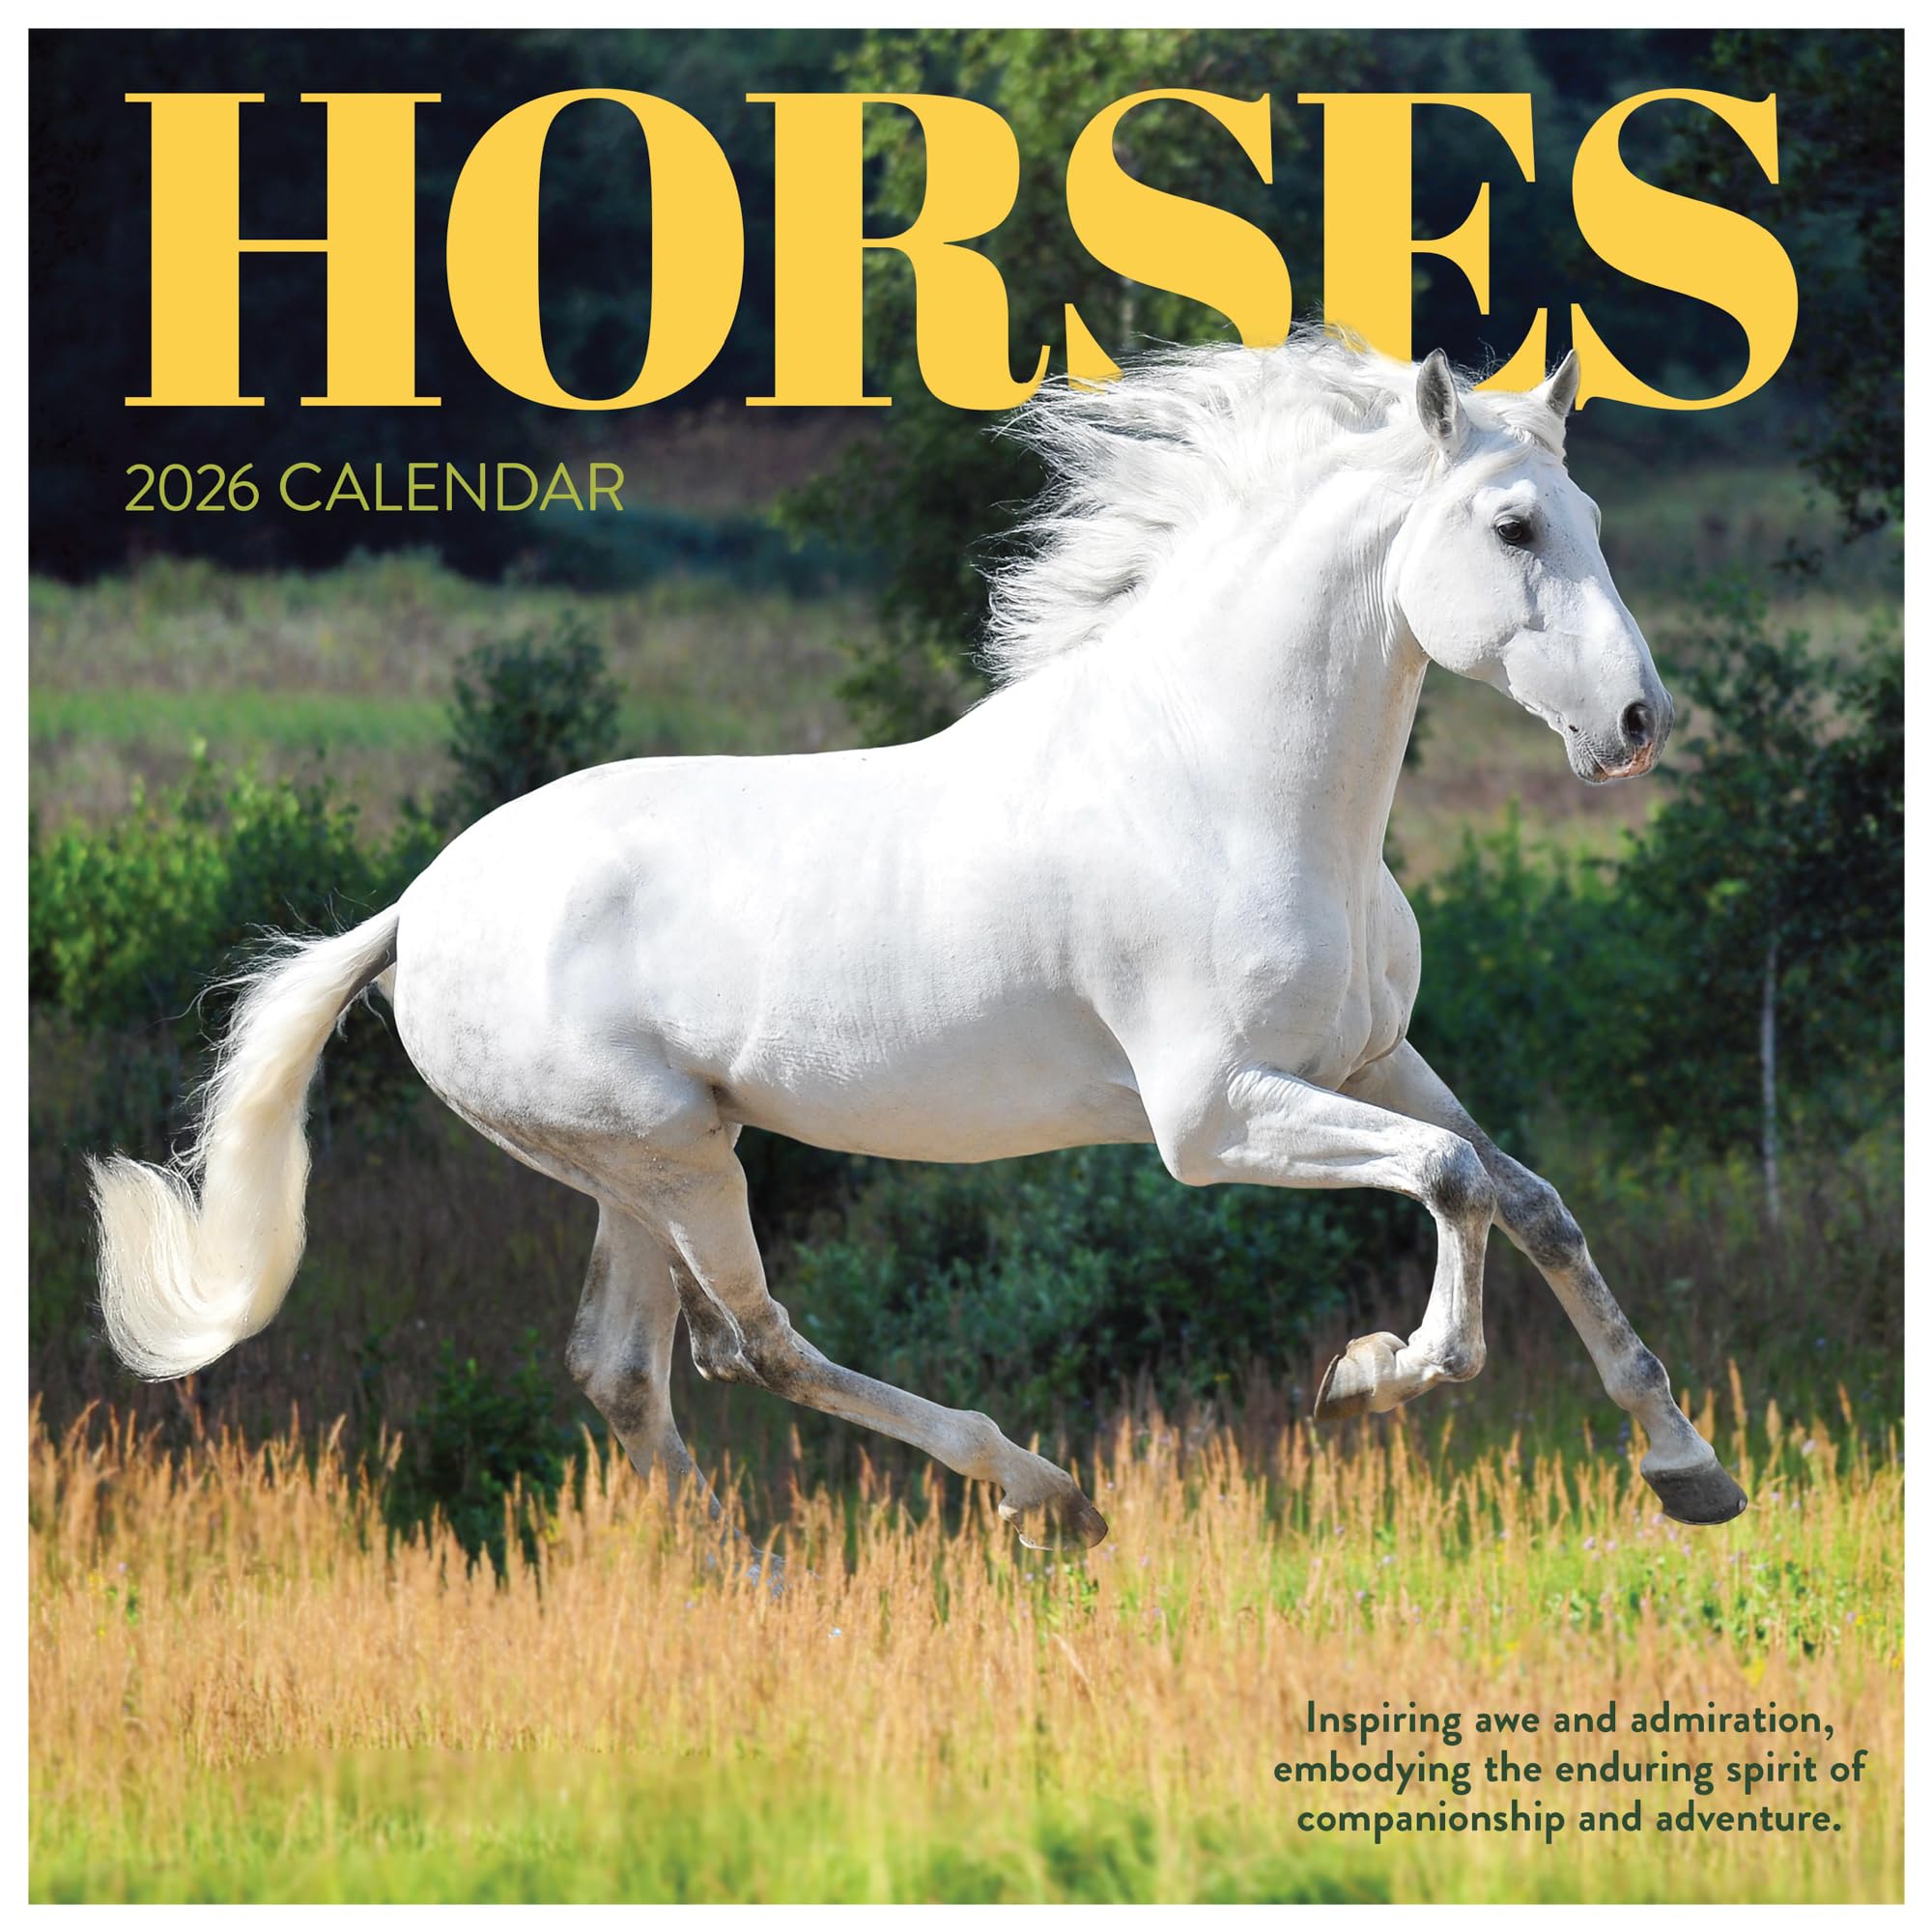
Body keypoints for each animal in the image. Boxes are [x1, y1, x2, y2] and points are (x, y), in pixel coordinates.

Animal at [90, 331, 1750, 1549]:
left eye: (1596, 521)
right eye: (1514, 525)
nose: (1637, 724)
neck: (1227, 781)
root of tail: (418, 909)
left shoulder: (1372, 1060)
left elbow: (1532, 1200)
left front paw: (1688, 1468)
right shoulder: (1213, 1119)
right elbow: (1457, 1185)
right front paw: (1373, 1377)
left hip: (635, 1167)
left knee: (628, 1372)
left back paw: (755, 1587)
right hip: (671, 1158)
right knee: (751, 1345)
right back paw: (1044, 1498)